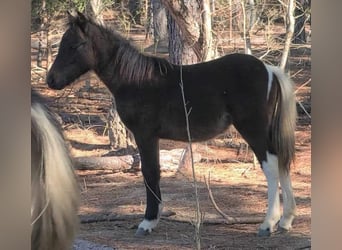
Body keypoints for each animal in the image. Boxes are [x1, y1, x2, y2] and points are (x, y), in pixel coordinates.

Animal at [46, 11, 296, 237]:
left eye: (75, 45)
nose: (51, 80)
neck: (135, 80)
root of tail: (269, 69)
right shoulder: (152, 137)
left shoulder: (144, 135)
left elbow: (150, 172)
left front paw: (147, 222)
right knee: (282, 162)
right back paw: (285, 221)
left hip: (253, 129)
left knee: (271, 166)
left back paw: (268, 224)